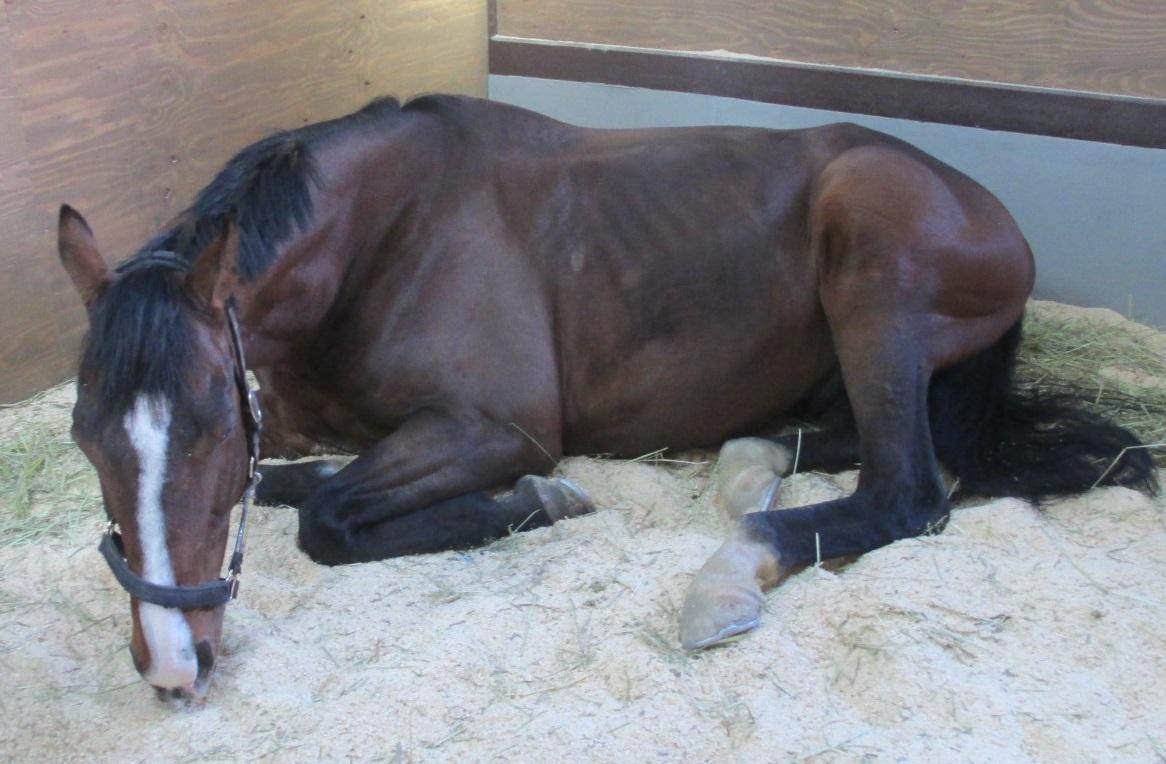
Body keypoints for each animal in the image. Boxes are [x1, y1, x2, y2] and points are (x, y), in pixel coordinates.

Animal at [57, 94, 1155, 698]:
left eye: (205, 427)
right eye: (84, 437)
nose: (172, 665)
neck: (385, 235)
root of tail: (983, 207)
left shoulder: (495, 425)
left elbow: (328, 514)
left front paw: (533, 502)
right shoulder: (291, 417)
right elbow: (305, 480)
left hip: (873, 276)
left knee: (907, 490)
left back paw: (726, 573)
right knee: (862, 445)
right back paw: (744, 466)